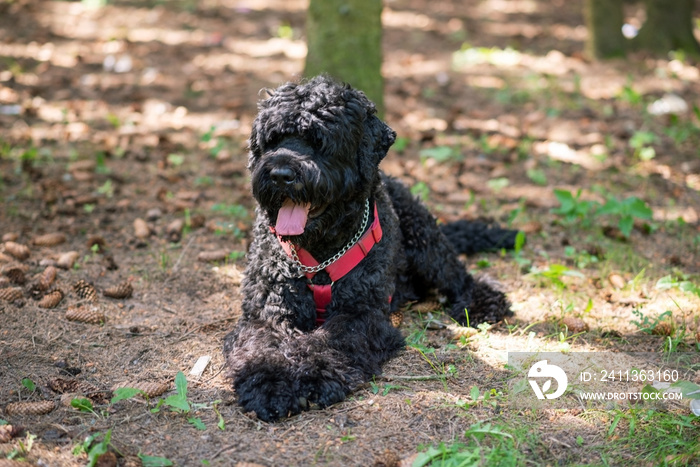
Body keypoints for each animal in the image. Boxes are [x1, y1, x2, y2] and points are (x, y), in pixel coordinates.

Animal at [221, 77, 516, 424]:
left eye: (320, 141)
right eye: (272, 139)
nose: (281, 175)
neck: (319, 257)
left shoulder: (361, 314)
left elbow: (329, 342)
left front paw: (314, 375)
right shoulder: (265, 313)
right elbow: (262, 347)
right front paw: (269, 382)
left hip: (426, 243)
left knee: (457, 276)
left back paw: (483, 302)